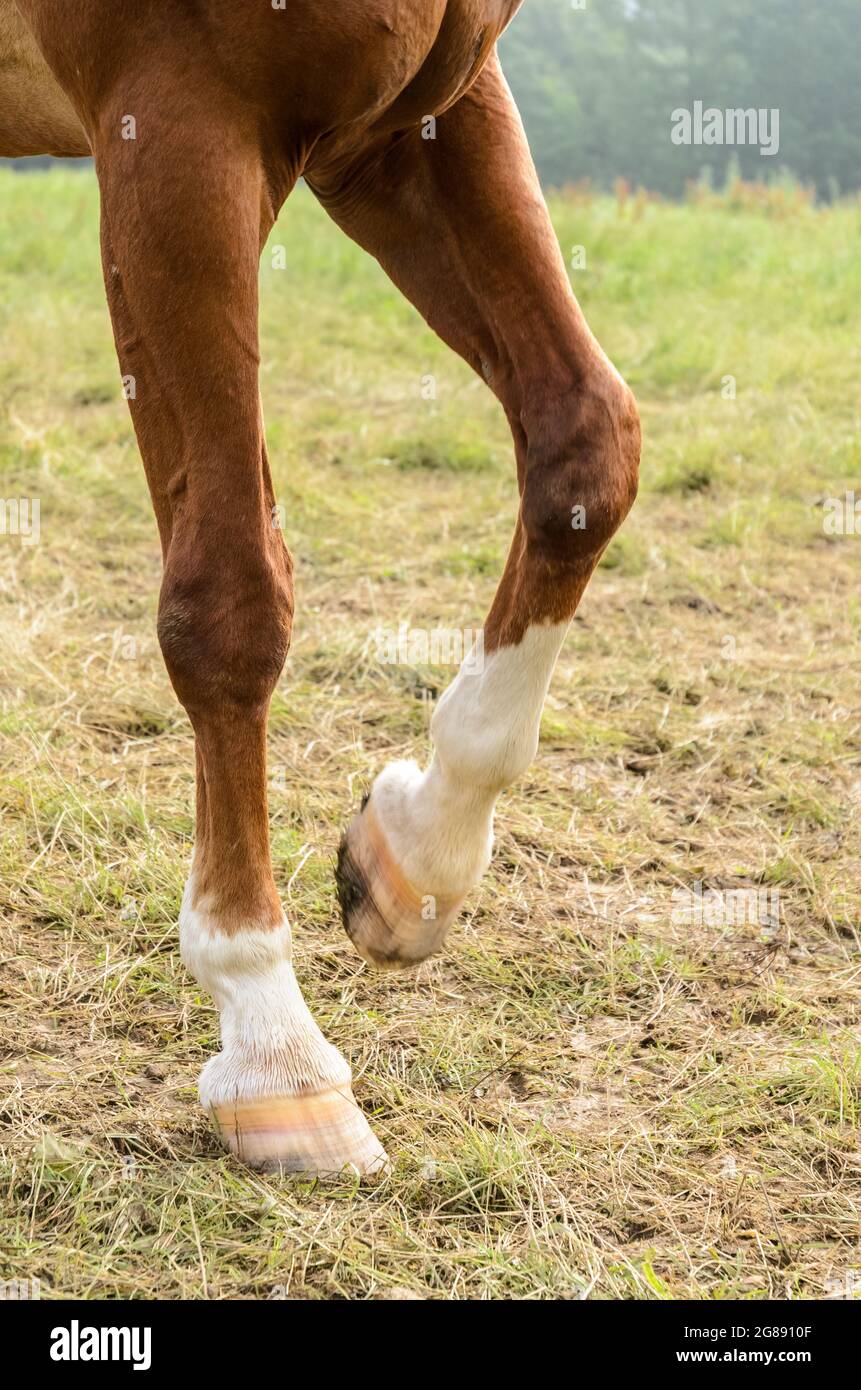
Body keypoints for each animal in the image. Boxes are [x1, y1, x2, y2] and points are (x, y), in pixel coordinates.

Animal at [1, 1, 640, 1175]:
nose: (408, 856)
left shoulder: (420, 121)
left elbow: (585, 447)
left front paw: (415, 854)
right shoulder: (175, 125)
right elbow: (230, 601)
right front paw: (272, 1044)